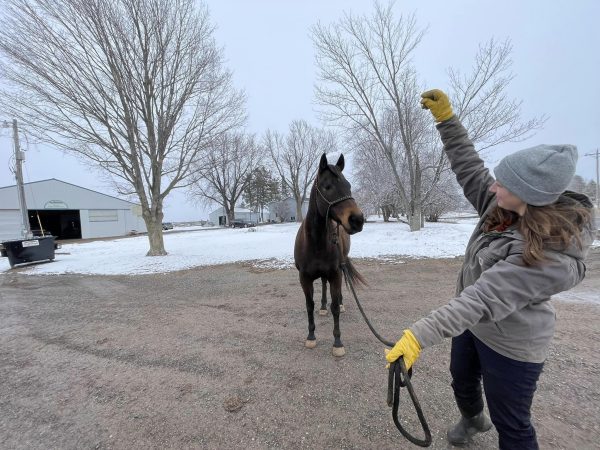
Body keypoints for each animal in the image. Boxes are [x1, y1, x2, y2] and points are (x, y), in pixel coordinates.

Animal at [296, 153, 366, 356]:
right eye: (327, 187)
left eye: (349, 186)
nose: (357, 220)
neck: (316, 242)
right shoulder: (304, 278)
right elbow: (309, 305)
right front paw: (311, 337)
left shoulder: (335, 274)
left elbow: (334, 307)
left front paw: (337, 342)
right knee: (323, 286)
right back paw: (322, 306)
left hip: (338, 271)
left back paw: (340, 304)